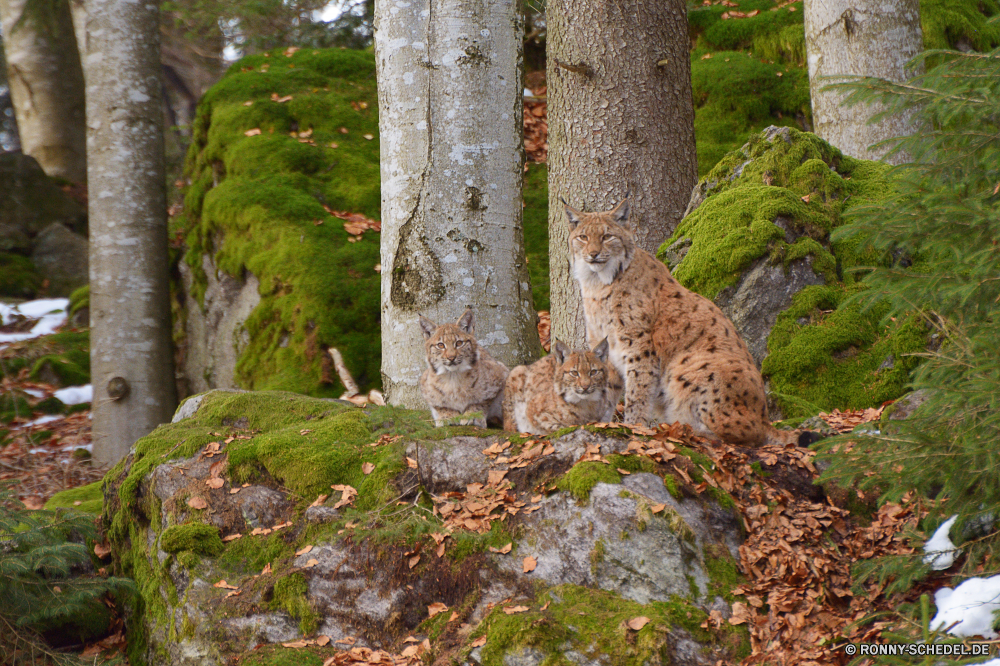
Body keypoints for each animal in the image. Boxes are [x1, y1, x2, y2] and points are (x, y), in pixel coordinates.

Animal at [564, 197, 820, 446]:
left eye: (607, 237)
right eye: (583, 237)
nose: (593, 254)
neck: (599, 283)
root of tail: (765, 418)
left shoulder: (639, 346)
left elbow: (638, 391)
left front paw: (633, 427)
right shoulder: (603, 344)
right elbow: (606, 389)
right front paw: (602, 423)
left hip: (687, 364)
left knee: (746, 436)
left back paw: (686, 431)